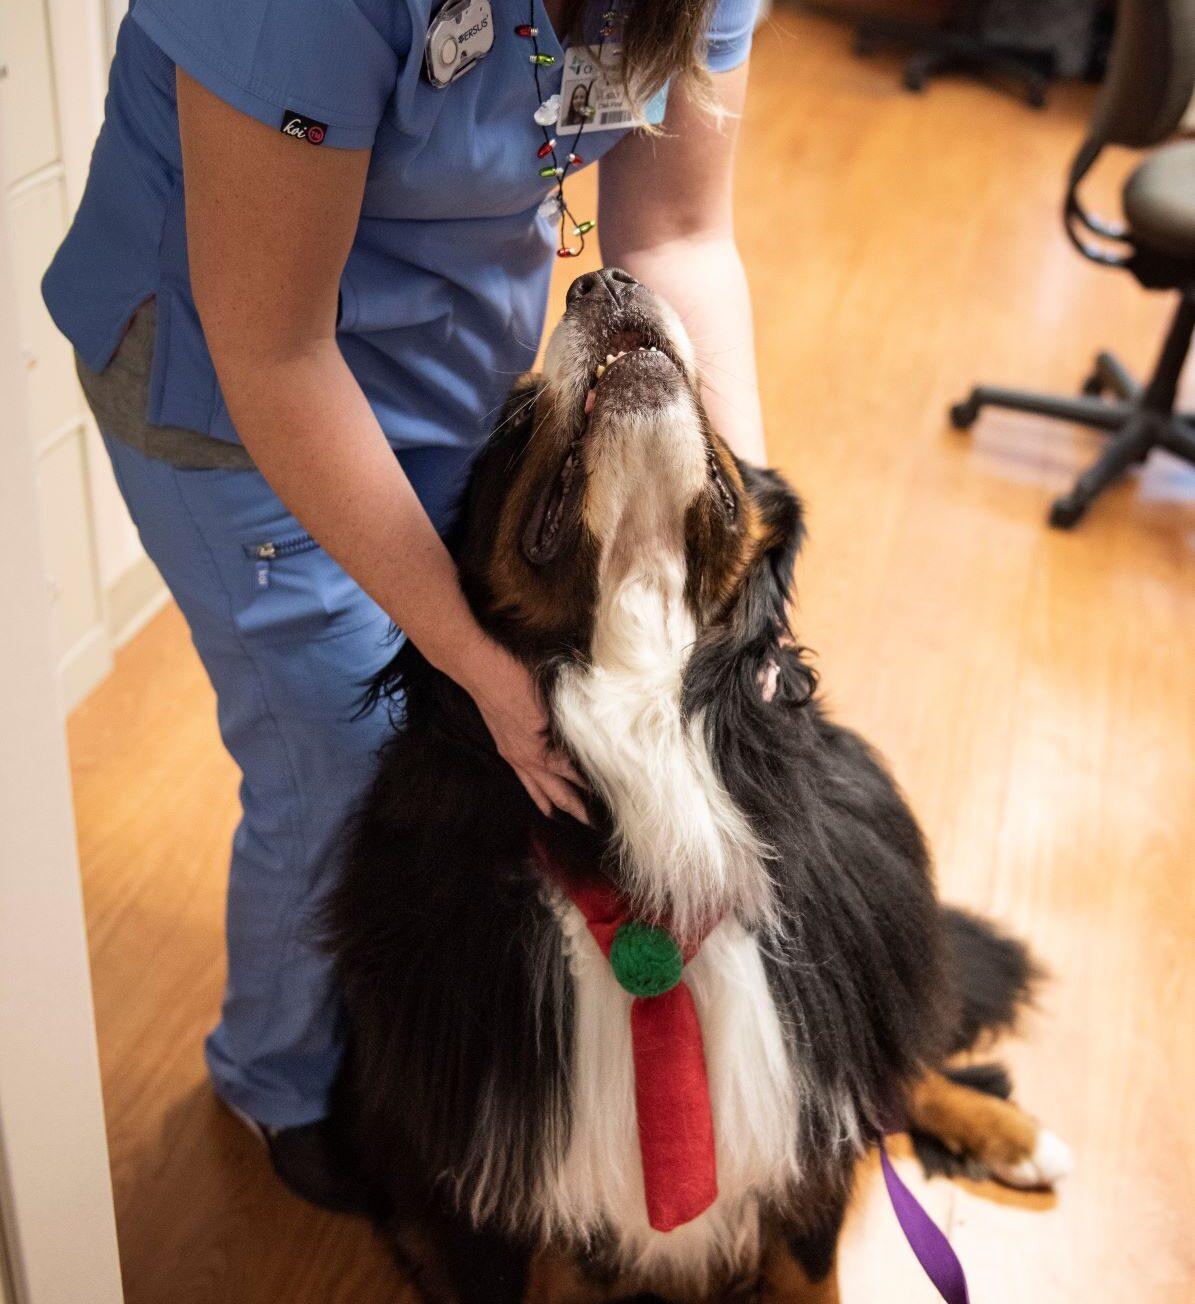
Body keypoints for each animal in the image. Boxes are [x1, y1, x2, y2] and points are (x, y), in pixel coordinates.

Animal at [322, 267, 1069, 1304]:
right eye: (515, 418)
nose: (602, 277)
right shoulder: (487, 1194)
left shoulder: (803, 1136)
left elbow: (812, 1246)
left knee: (891, 1056)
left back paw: (1012, 1134)